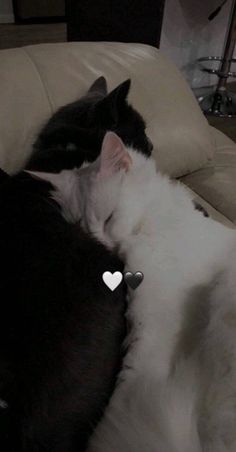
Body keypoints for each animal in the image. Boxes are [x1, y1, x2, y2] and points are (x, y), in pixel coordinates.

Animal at [31, 132, 236, 450]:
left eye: (108, 218)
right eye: (80, 227)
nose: (100, 244)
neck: (158, 221)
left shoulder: (154, 329)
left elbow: (127, 389)